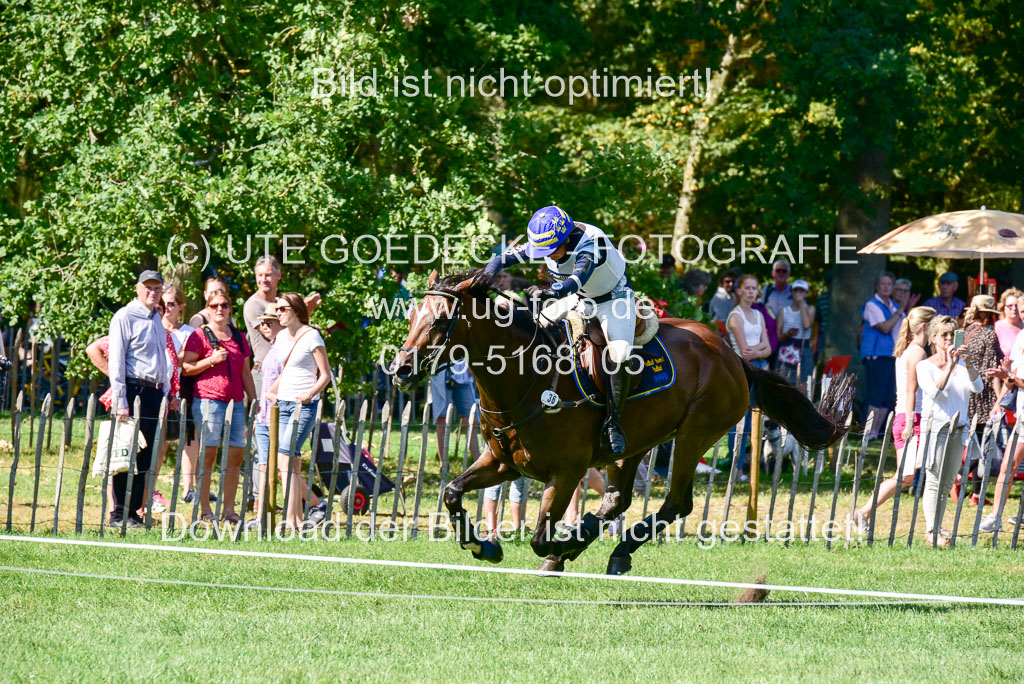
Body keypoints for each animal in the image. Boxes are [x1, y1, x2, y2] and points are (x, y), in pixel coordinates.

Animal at [387, 270, 851, 573]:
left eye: (441, 321)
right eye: (410, 317)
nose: (401, 370)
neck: (524, 377)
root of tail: (732, 355)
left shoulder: (566, 472)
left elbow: (538, 537)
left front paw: (562, 543)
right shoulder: (503, 462)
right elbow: (451, 492)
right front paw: (484, 547)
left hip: (694, 434)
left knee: (676, 502)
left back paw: (612, 552)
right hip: (636, 443)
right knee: (618, 499)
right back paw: (584, 547)